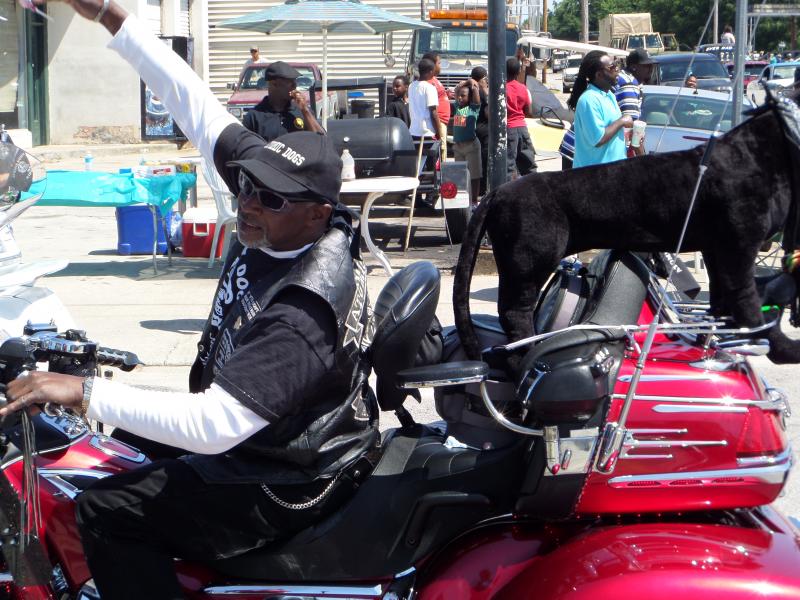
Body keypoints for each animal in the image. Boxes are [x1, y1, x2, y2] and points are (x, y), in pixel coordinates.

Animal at [453, 92, 800, 369]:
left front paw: (716, 339)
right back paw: (524, 356)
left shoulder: (717, 250)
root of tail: (498, 192)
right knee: (515, 311)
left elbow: (723, 301)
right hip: (529, 261)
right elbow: (748, 301)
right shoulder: (738, 246)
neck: (768, 150)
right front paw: (780, 347)